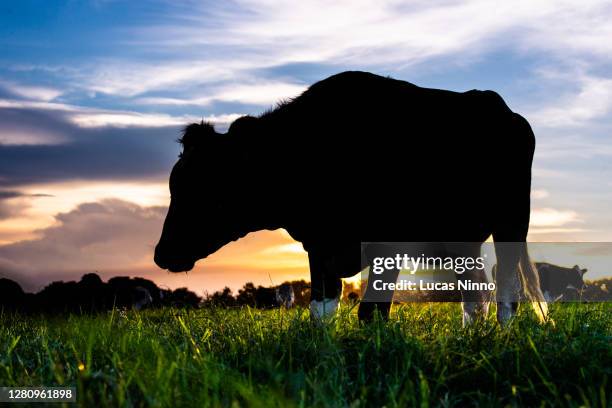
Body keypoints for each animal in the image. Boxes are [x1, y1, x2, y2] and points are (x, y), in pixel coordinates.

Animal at [155, 71, 548, 326]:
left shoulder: (388, 242)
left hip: (512, 224)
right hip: (460, 238)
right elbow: (321, 309)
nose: (161, 254)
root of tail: (496, 103)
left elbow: (371, 312)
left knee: (506, 289)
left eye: (209, 190)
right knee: (476, 293)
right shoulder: (317, 243)